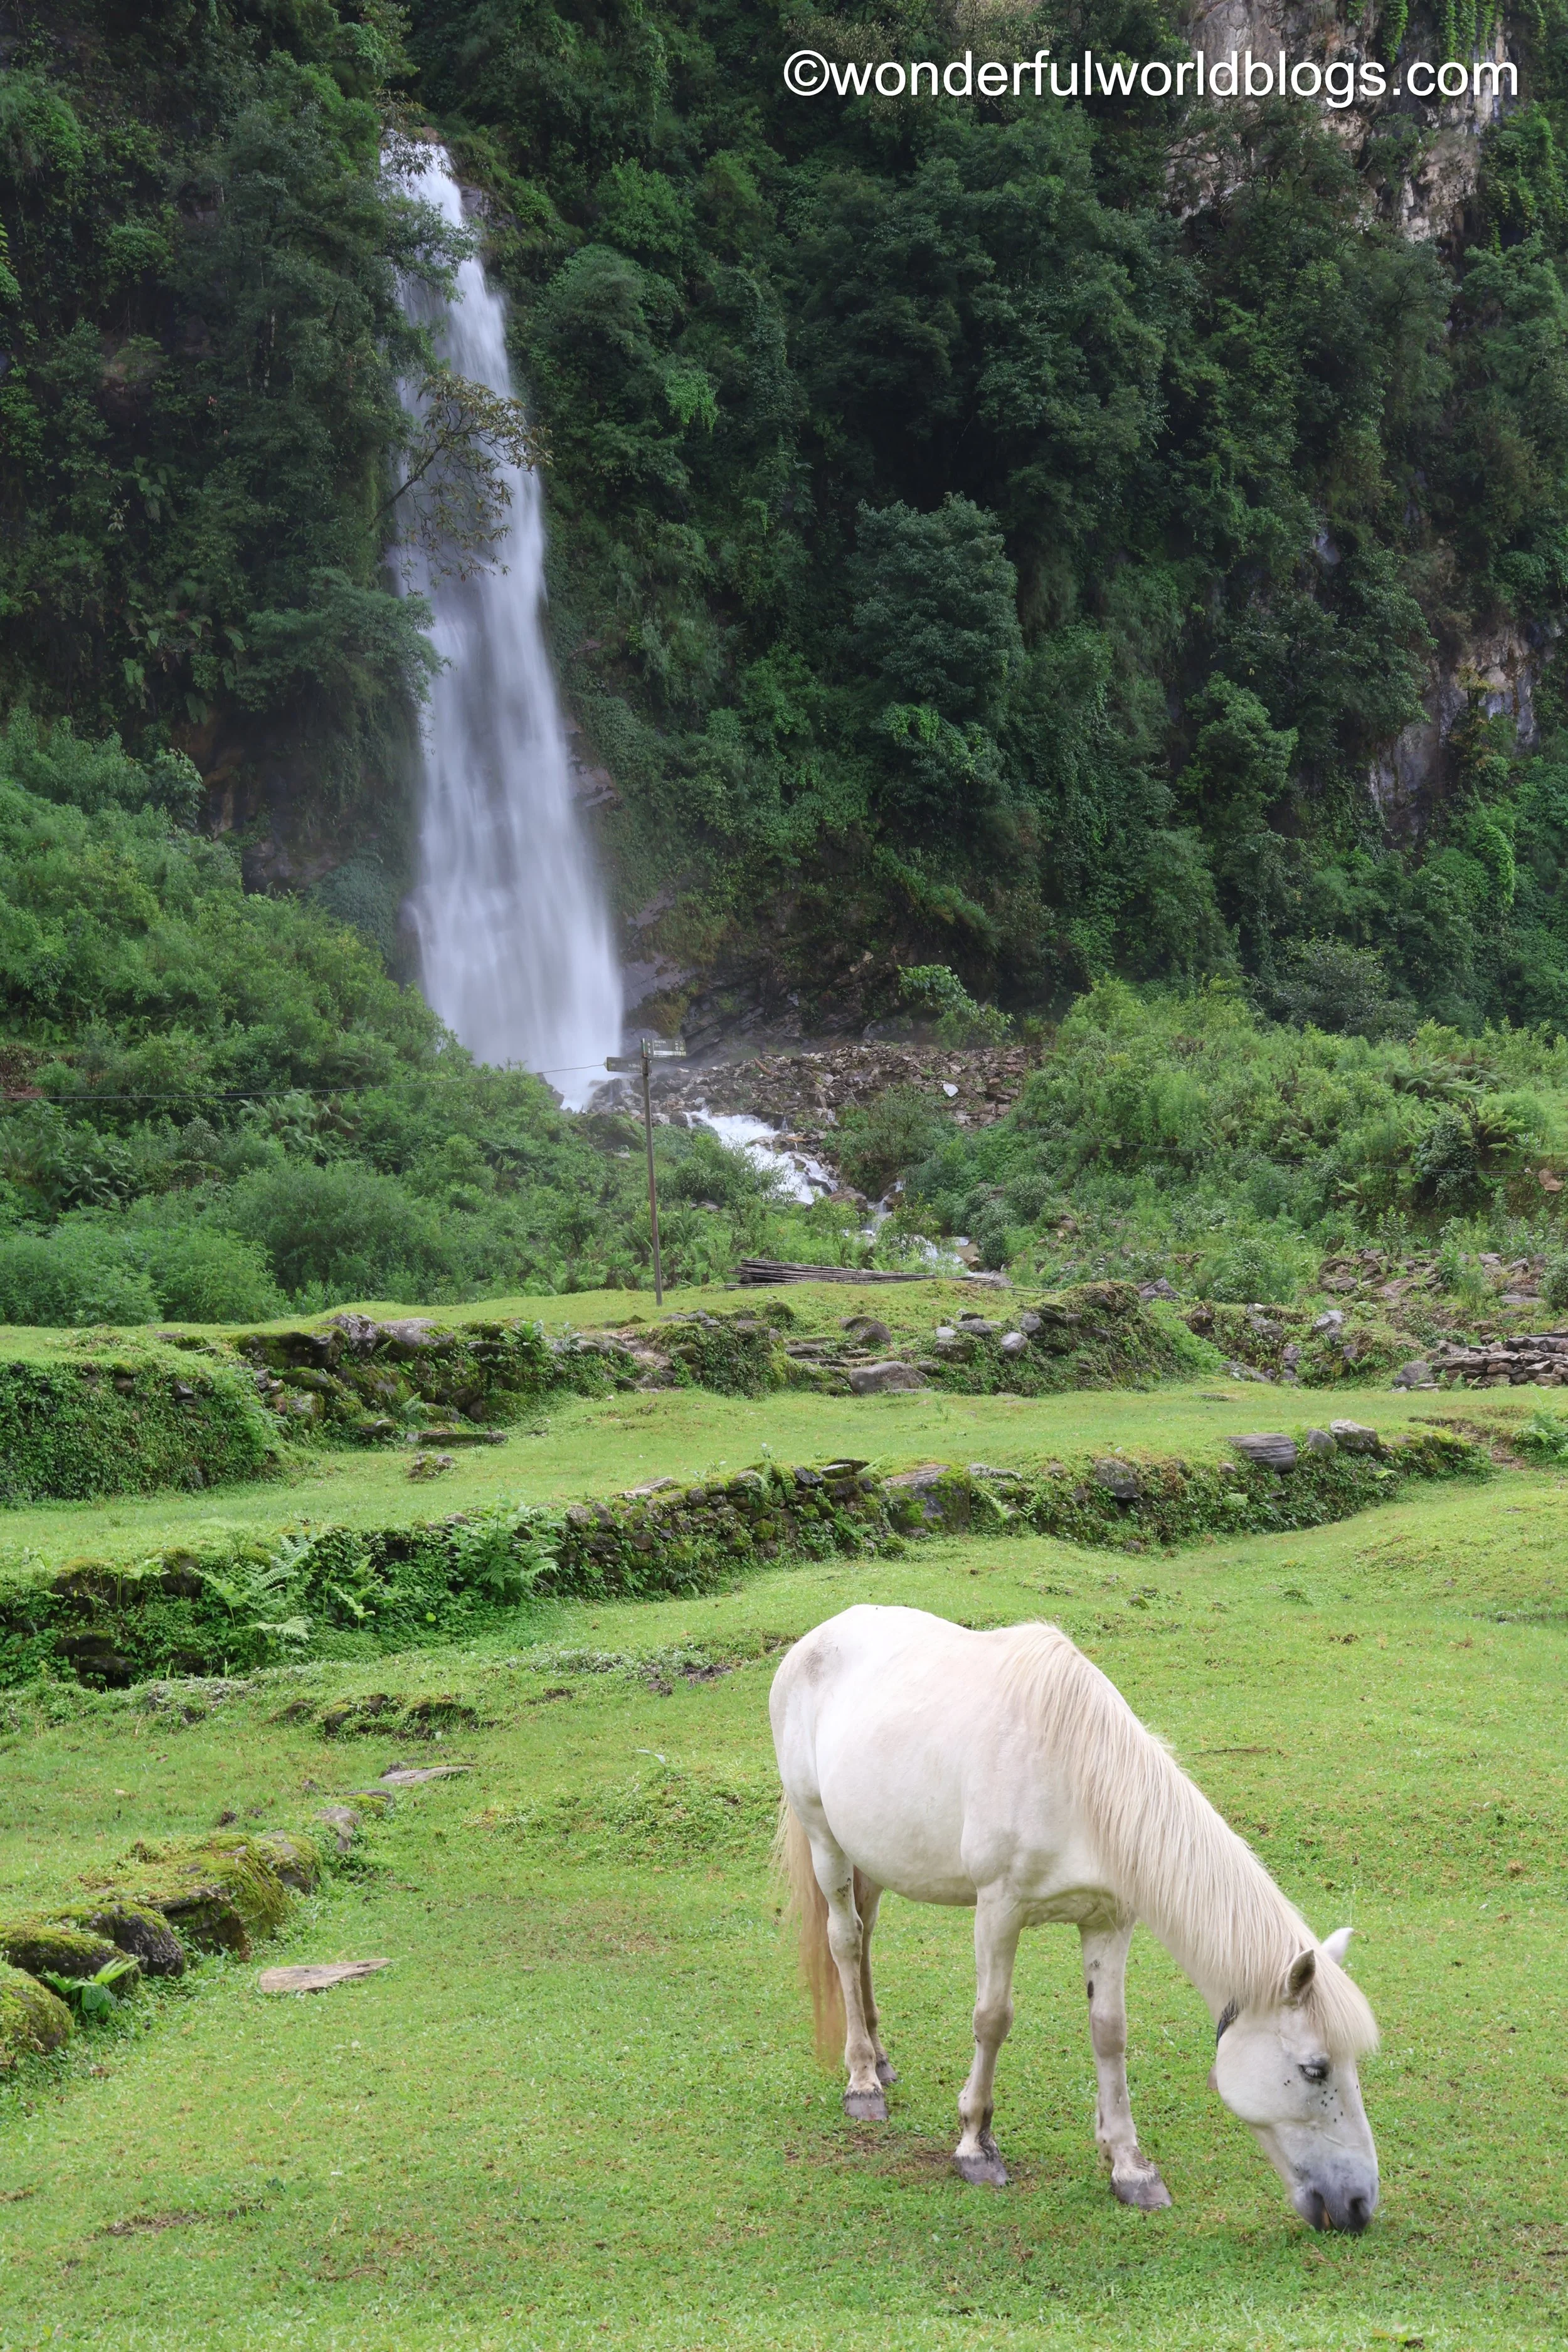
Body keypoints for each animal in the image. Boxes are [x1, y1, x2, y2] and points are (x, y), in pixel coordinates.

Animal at [770, 1604, 1380, 2232]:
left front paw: (1130, 2167)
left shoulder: (1109, 1921)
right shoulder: (999, 1911)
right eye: (1315, 2069)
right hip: (824, 1838)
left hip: (871, 1853)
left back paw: (881, 2057)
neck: (1078, 1781)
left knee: (866, 1936)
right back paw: (864, 2081)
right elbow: (992, 2020)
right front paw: (975, 2146)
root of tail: (818, 1637)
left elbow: (1109, 2032)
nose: (1359, 2205)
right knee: (845, 1941)